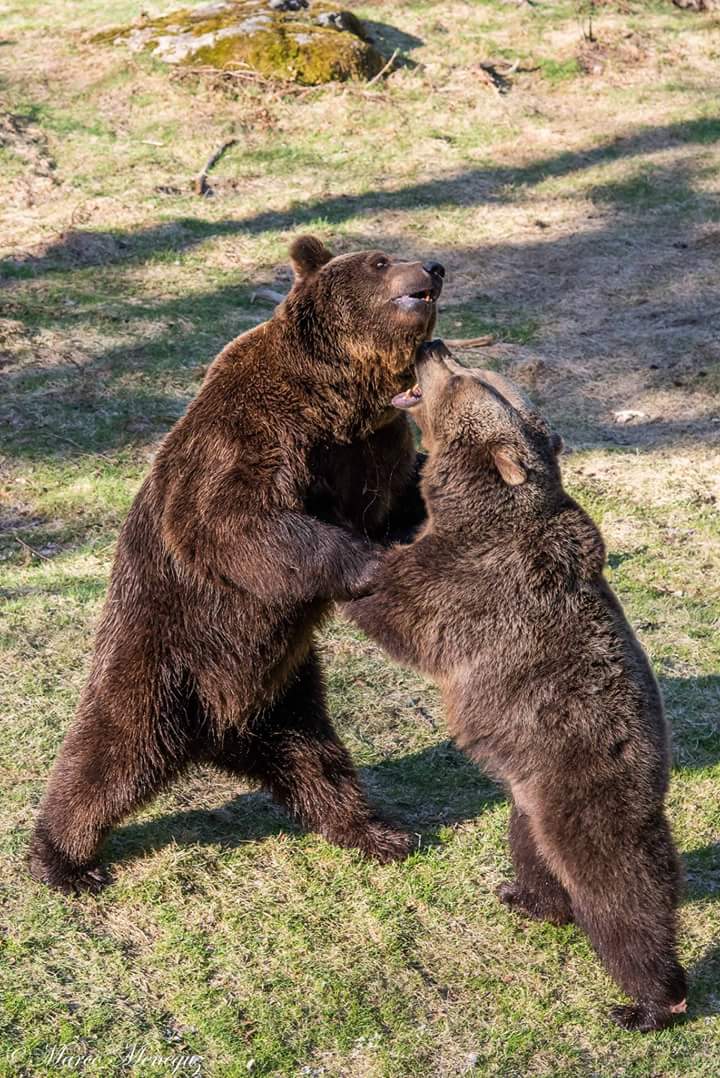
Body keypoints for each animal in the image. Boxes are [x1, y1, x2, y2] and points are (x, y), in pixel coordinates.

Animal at [28, 236, 445, 894]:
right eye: (379, 261)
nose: (433, 267)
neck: (338, 402)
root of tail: (217, 736)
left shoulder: (373, 450)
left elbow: (399, 498)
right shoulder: (254, 432)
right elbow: (233, 518)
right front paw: (371, 564)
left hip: (285, 693)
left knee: (318, 761)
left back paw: (378, 832)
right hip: (162, 659)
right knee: (108, 754)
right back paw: (63, 861)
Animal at [343, 339, 687, 1032]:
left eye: (464, 379)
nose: (432, 344)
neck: (479, 506)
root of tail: (657, 779)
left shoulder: (469, 586)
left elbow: (399, 610)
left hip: (586, 792)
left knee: (622, 897)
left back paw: (650, 1002)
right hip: (530, 806)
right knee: (540, 862)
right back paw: (524, 895)